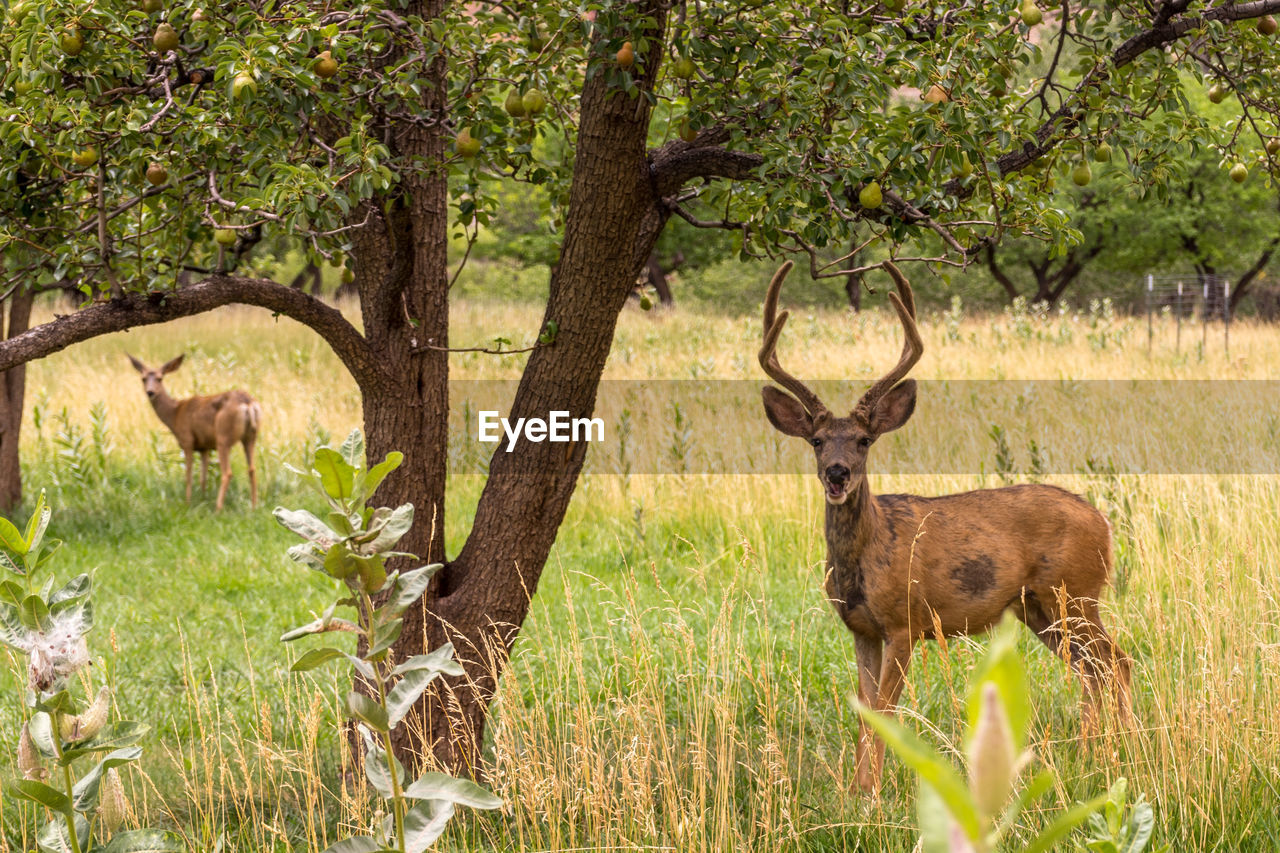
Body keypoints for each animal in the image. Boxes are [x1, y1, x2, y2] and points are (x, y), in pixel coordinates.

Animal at [127, 353, 262, 507]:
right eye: (143, 378)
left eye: (160, 378)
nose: (150, 392)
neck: (174, 414)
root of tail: (248, 403)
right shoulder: (204, 447)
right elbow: (203, 477)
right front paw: (202, 499)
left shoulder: (187, 440)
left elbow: (188, 475)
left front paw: (188, 503)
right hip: (251, 436)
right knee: (252, 469)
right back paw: (254, 506)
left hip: (224, 437)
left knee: (227, 472)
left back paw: (218, 508)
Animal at [757, 258, 1131, 788]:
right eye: (816, 441)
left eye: (864, 440)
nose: (837, 472)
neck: (867, 553)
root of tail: (1103, 521)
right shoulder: (860, 629)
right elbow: (864, 711)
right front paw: (857, 790)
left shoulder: (904, 621)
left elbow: (885, 712)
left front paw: (872, 792)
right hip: (1038, 608)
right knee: (1091, 669)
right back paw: (1091, 753)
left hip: (1076, 592)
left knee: (1116, 662)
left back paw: (1122, 751)